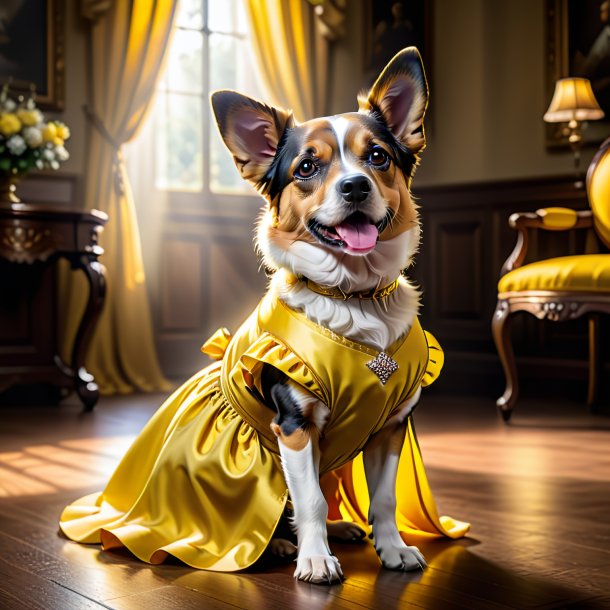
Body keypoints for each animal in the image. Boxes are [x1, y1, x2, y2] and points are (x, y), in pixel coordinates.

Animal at [211, 46, 430, 580]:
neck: (354, 295)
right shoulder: (294, 427)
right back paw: (283, 546)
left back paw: (341, 529)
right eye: (307, 166)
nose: (355, 187)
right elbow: (307, 499)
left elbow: (385, 499)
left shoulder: (391, 426)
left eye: (378, 157)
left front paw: (392, 548)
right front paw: (314, 558)